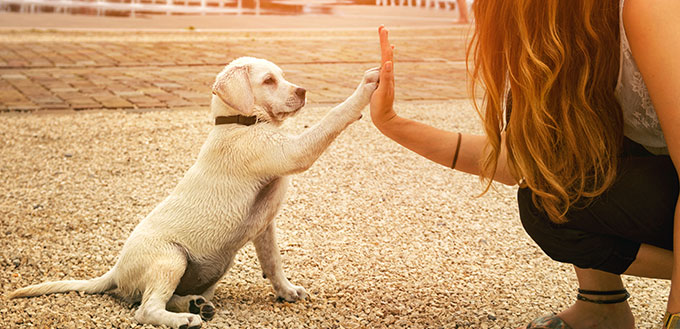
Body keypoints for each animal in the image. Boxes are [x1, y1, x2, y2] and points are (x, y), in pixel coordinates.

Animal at [10, 57, 380, 328]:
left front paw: (287, 291)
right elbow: (332, 117)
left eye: (282, 77)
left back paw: (196, 304)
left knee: (158, 298)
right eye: (268, 81)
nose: (303, 91)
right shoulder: (292, 153)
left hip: (208, 270)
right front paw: (366, 87)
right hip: (170, 258)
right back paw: (185, 318)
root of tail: (115, 271)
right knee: (144, 310)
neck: (239, 122)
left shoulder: (265, 226)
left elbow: (273, 262)